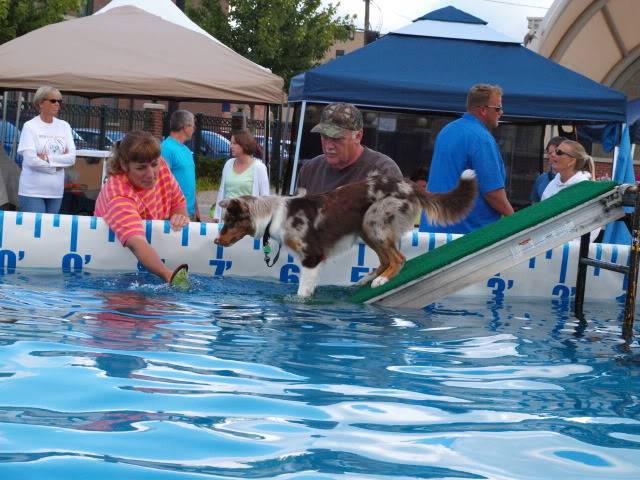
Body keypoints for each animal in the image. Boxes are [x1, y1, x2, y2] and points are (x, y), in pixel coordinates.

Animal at [218, 169, 478, 296]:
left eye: (229, 221)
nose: (216, 240)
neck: (273, 215)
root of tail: (410, 185)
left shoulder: (312, 258)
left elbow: (302, 292)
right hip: (364, 228)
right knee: (385, 258)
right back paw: (366, 278)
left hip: (373, 221)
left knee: (399, 258)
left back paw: (381, 280)